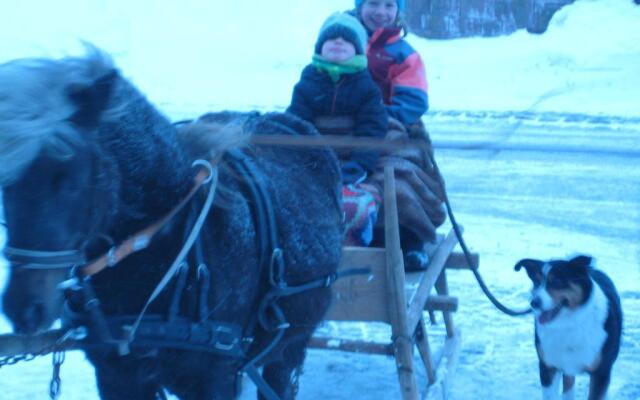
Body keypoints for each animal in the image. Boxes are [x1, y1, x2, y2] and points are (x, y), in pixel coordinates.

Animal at [0, 47, 344, 400]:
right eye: (6, 182)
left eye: (69, 179)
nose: (24, 308)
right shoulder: (115, 374)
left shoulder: (215, 377)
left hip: (292, 345)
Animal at [516, 255, 624, 398]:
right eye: (537, 282)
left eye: (556, 281)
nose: (534, 303)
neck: (568, 323)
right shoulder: (548, 367)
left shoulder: (601, 372)